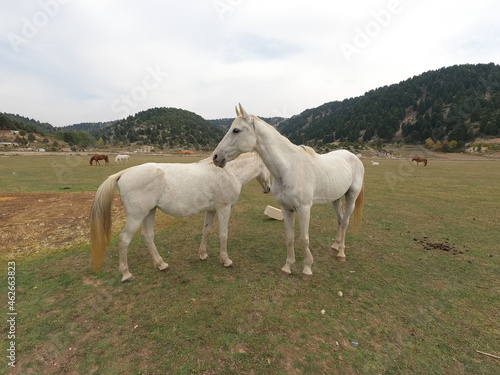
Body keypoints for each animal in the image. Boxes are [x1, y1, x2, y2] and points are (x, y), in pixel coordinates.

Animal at [90, 153, 270, 282]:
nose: (268, 189)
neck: (229, 172)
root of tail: (125, 172)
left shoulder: (211, 211)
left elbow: (206, 231)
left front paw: (203, 255)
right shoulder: (224, 209)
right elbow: (223, 235)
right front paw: (226, 260)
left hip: (150, 212)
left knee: (148, 236)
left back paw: (161, 264)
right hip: (137, 216)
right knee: (124, 239)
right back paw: (126, 274)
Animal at [213, 104, 366, 278]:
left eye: (236, 130)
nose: (216, 157)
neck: (288, 168)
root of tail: (354, 157)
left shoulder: (304, 209)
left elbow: (304, 239)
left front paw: (307, 269)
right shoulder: (286, 208)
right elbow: (290, 238)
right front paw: (287, 267)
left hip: (351, 197)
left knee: (345, 222)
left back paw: (341, 253)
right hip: (335, 198)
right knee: (340, 220)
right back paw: (335, 245)